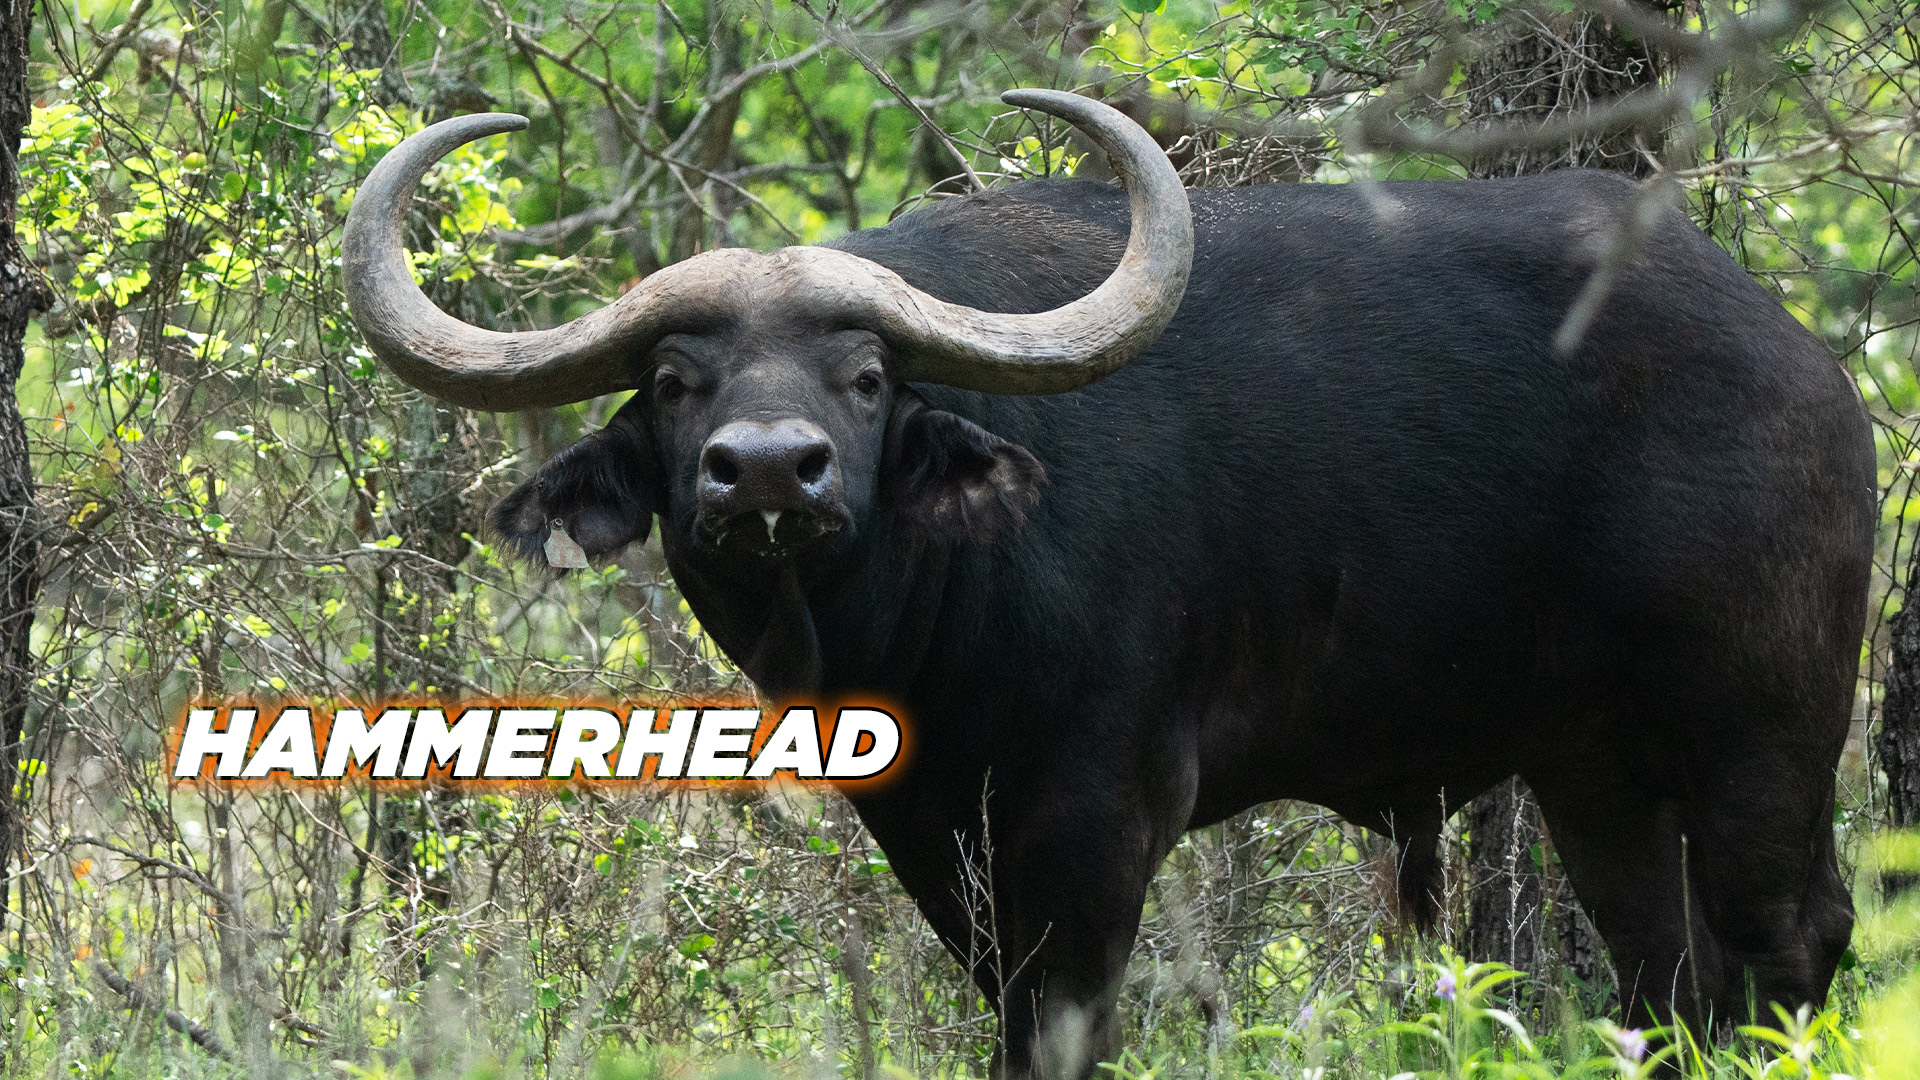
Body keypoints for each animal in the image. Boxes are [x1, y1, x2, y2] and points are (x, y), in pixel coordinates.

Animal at [342, 89, 1873, 1079]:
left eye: (865, 375)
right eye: (673, 381)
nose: (768, 474)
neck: (933, 623)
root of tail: (1803, 359)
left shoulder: (1096, 826)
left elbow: (1060, 1033)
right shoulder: (936, 836)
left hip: (1766, 734)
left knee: (1789, 945)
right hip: (1594, 768)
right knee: (1667, 972)